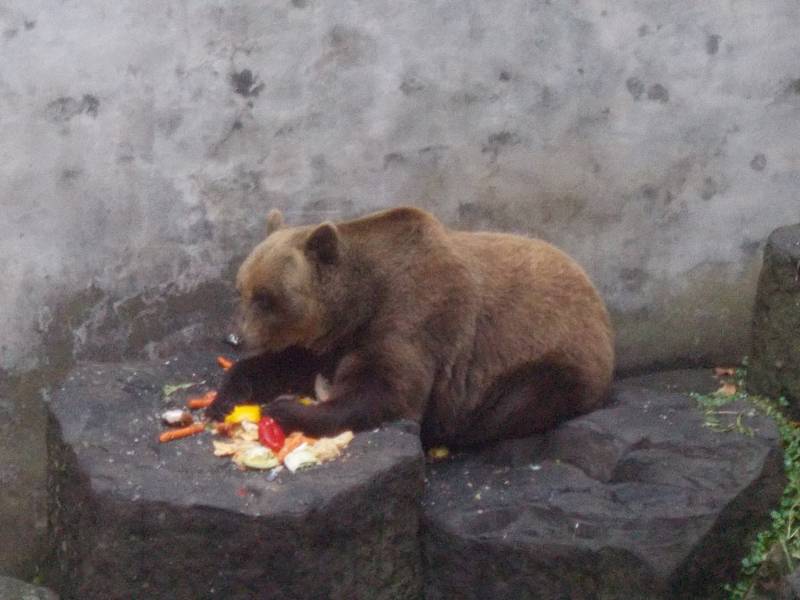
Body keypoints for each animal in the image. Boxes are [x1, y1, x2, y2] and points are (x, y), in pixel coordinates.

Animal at [205, 206, 612, 446]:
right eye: (242, 290)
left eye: (267, 298)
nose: (235, 338)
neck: (360, 303)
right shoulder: (332, 342)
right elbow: (286, 364)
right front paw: (223, 400)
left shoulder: (414, 318)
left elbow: (386, 390)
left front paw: (285, 411)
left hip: (551, 352)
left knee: (518, 400)